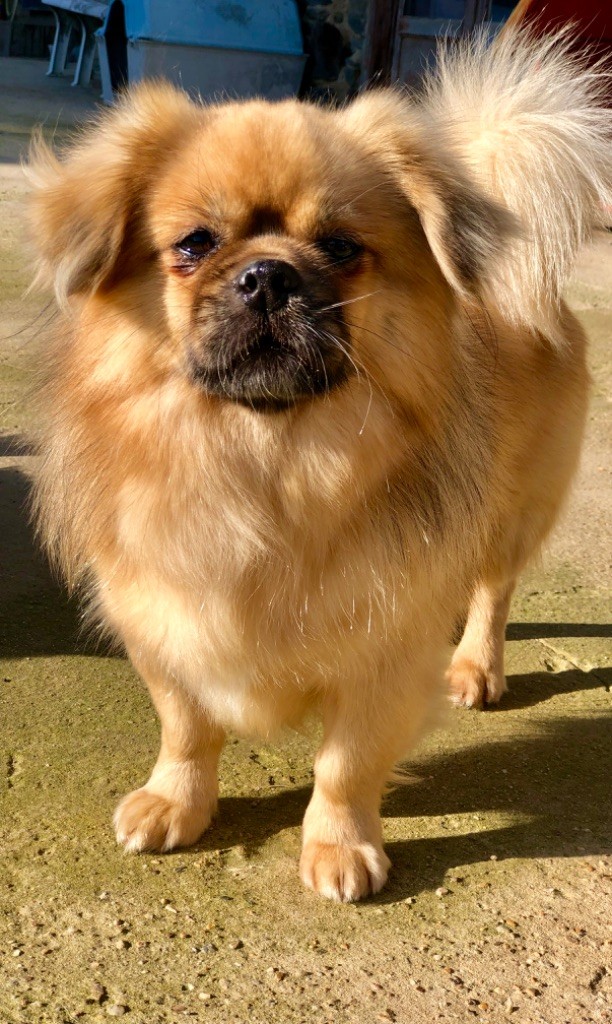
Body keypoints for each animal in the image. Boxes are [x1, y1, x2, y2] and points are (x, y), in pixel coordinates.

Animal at [27, 27, 611, 901]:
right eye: (194, 246)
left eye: (340, 249)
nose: (269, 275)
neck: (265, 463)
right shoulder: (162, 618)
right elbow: (187, 727)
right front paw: (177, 802)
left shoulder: (383, 655)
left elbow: (346, 764)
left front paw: (339, 846)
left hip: (515, 509)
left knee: (492, 588)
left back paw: (476, 664)